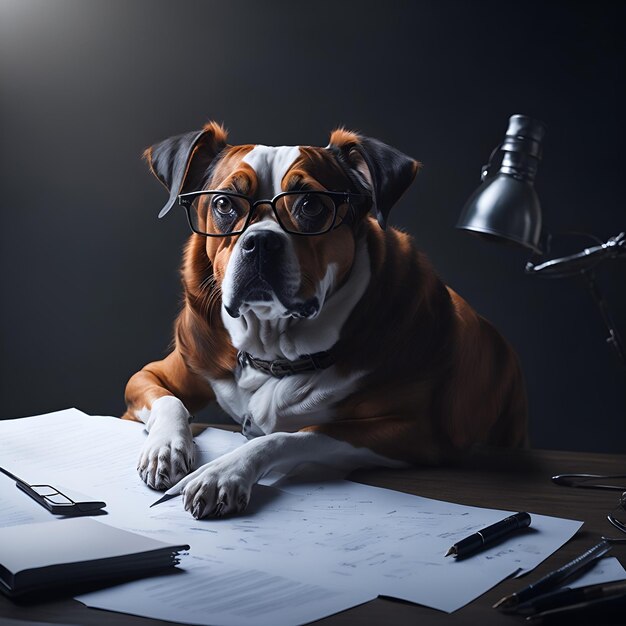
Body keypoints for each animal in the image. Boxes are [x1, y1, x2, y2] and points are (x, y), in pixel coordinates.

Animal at [122, 120, 528, 516]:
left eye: (311, 205)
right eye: (224, 204)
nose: (260, 242)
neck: (275, 351)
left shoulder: (412, 433)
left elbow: (292, 435)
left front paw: (224, 471)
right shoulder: (152, 375)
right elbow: (170, 401)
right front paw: (166, 449)